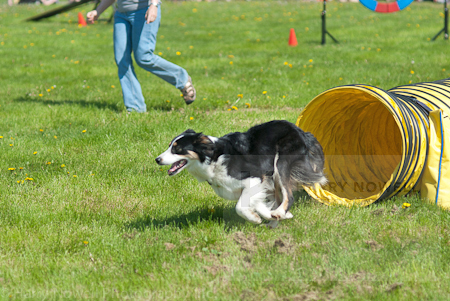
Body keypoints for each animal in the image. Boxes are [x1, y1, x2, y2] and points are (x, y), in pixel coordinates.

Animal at [156, 120, 326, 227]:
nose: (157, 159)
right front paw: (271, 216)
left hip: (281, 165)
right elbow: (258, 204)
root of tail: (302, 132)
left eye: (177, 149)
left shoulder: (254, 178)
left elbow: (239, 207)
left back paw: (278, 212)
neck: (213, 158)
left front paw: (256, 219)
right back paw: (274, 222)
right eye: (169, 145)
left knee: (288, 196)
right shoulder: (258, 185)